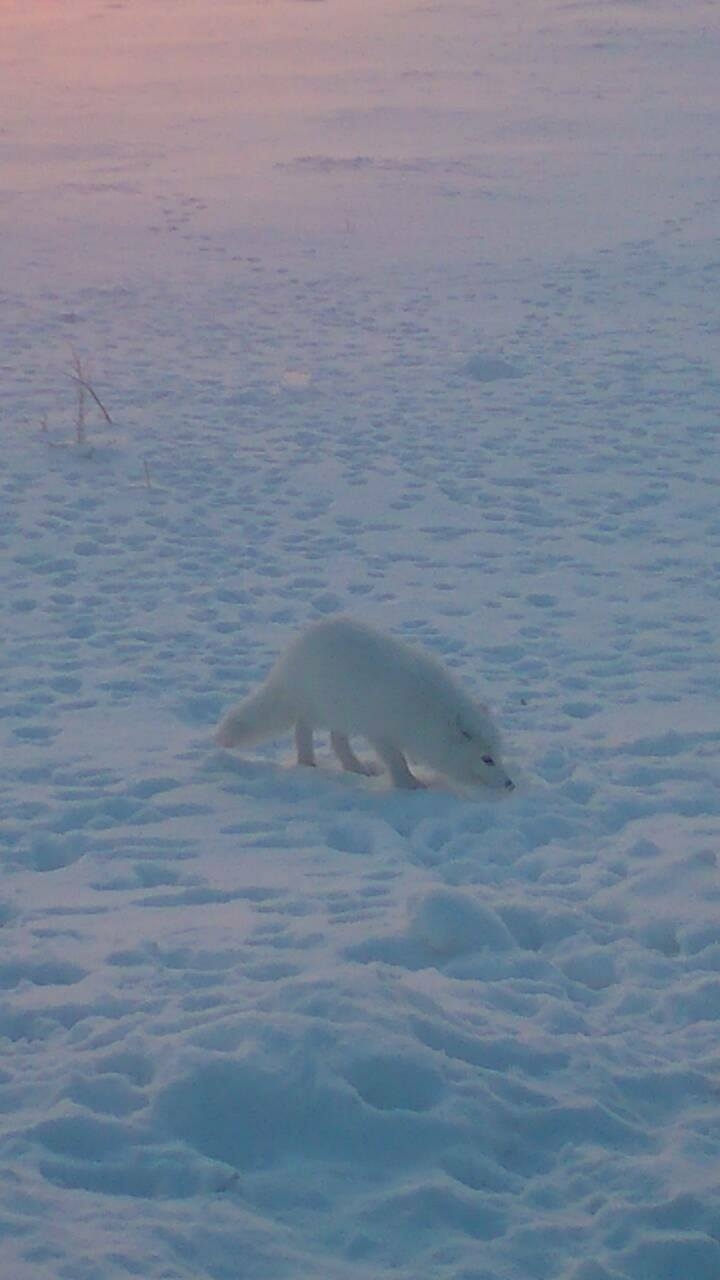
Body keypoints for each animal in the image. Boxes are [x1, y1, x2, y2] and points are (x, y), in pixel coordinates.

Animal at [216, 617, 514, 791]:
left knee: (336, 741)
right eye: (487, 759)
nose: (510, 784)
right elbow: (397, 761)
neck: (431, 713)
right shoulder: (382, 734)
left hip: (344, 714)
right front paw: (412, 786)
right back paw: (308, 764)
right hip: (319, 708)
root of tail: (286, 662)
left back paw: (356, 768)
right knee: (303, 730)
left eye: (498, 755)